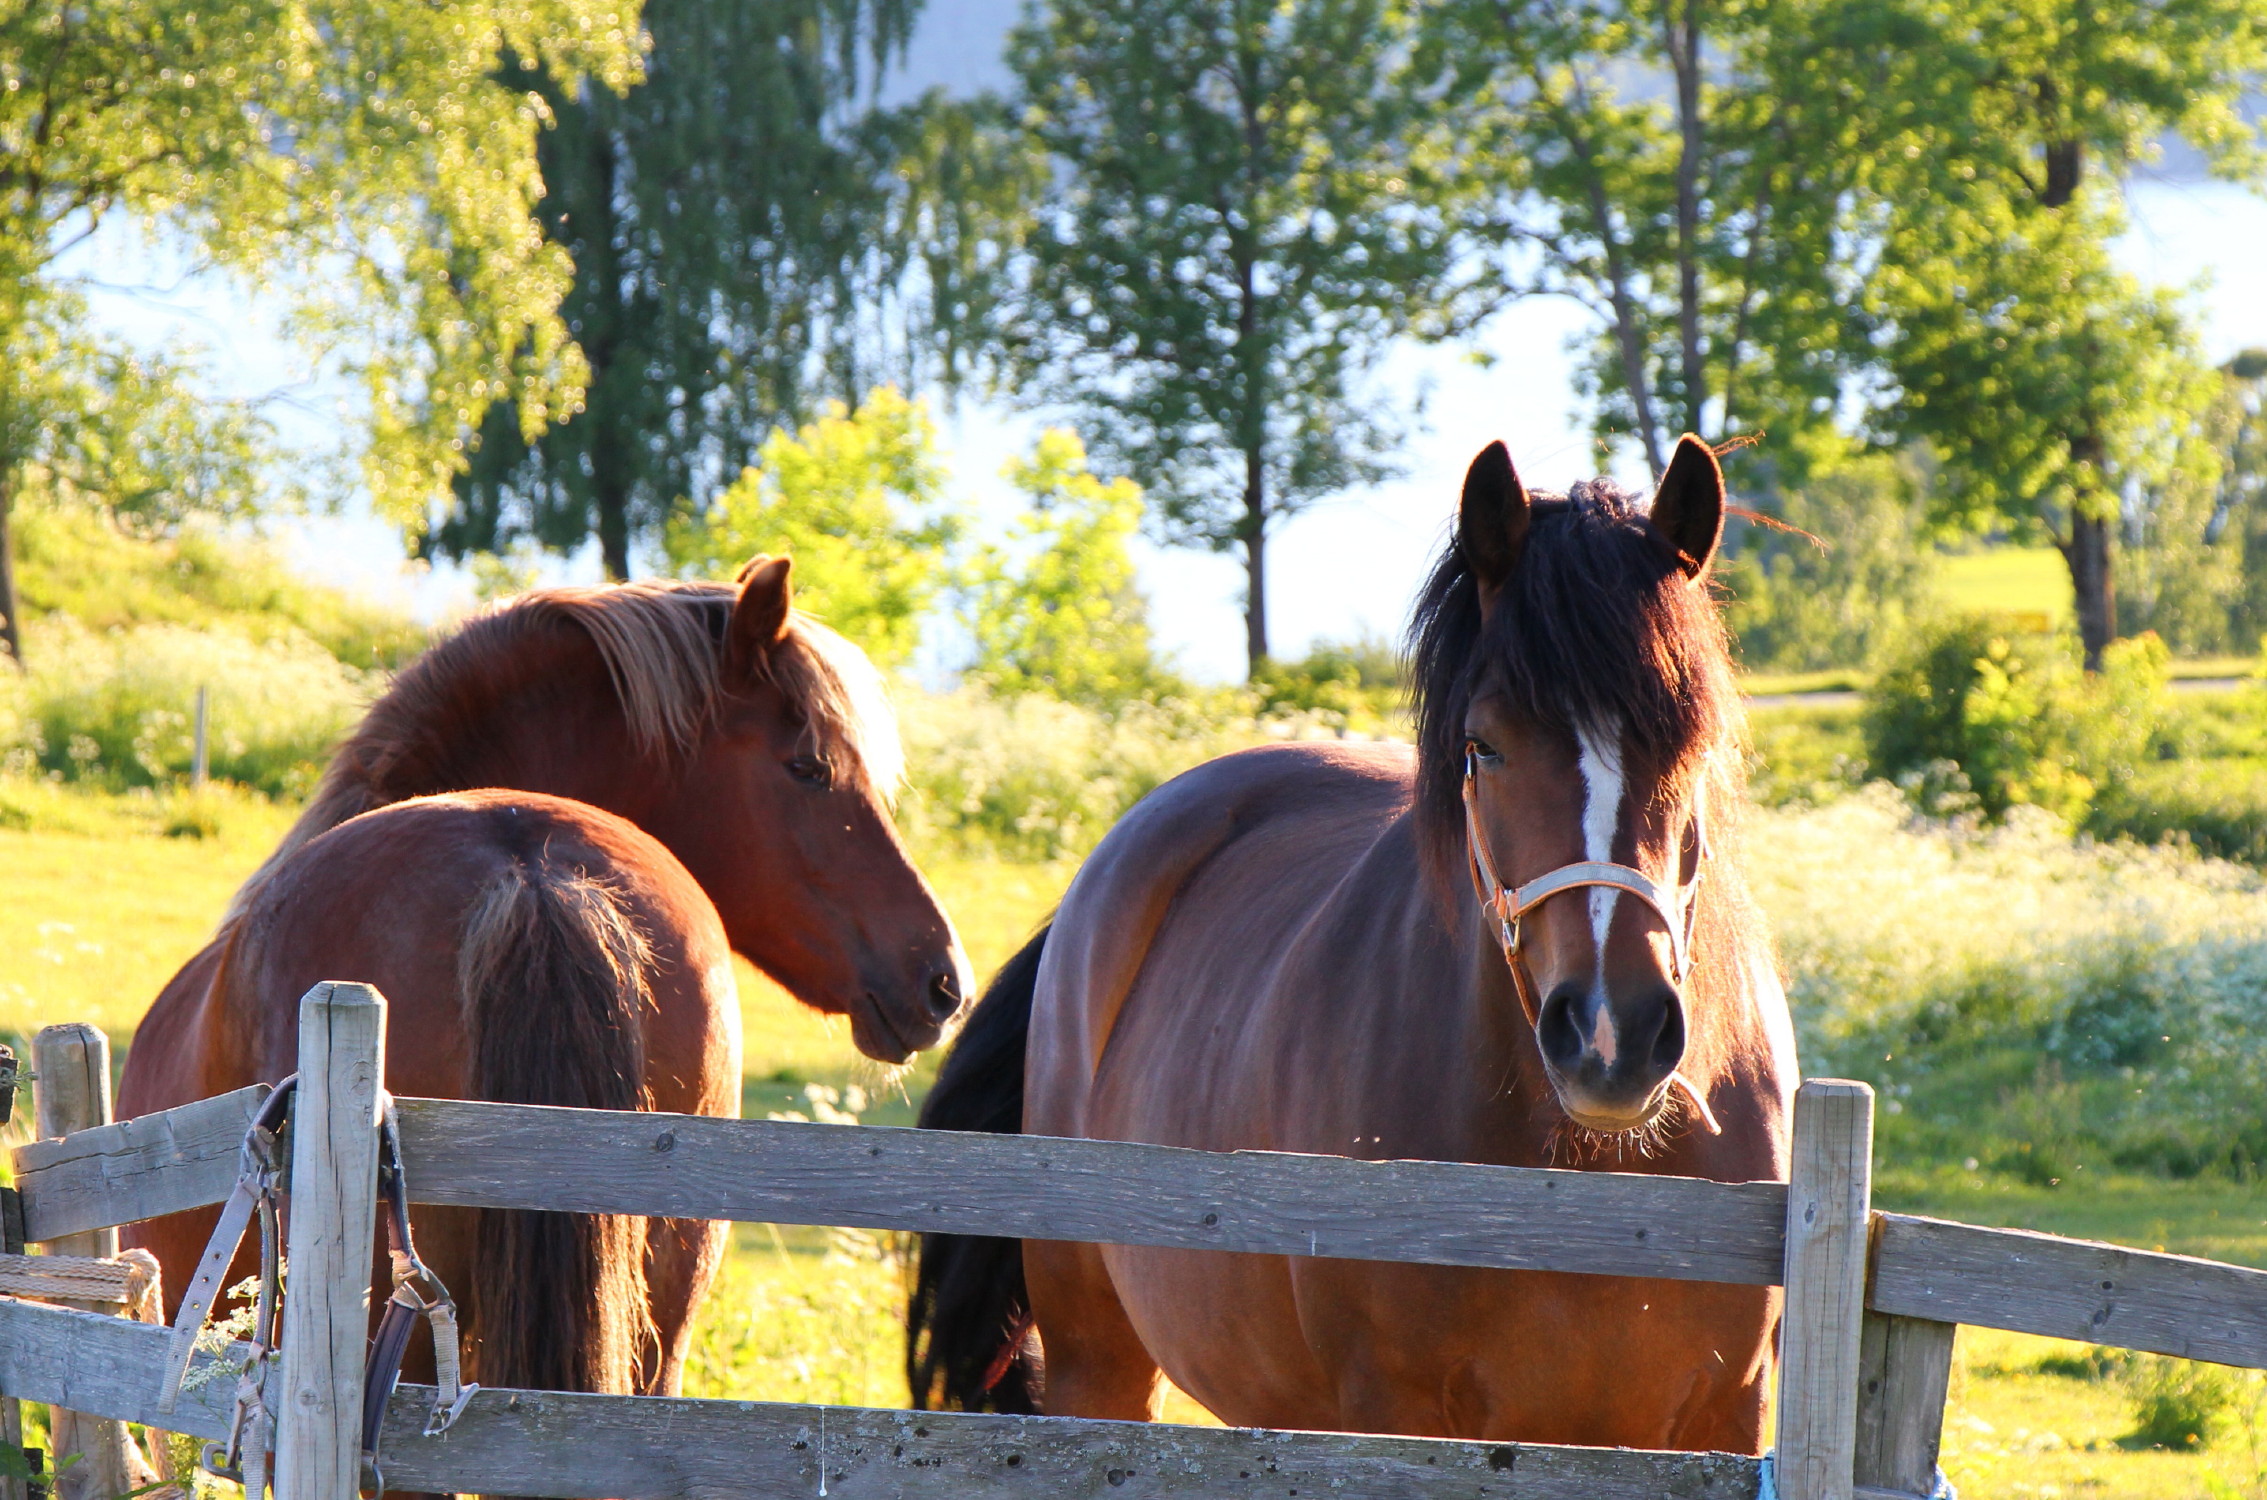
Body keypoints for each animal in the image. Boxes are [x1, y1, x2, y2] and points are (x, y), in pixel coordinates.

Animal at [911, 435, 1795, 1459]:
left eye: (1693, 738)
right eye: (1482, 745)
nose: (1611, 1038)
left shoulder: (1730, 1415)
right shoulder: (1391, 1414)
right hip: (1103, 1365)